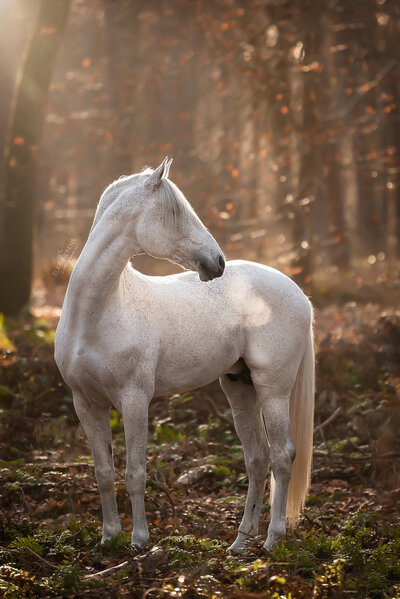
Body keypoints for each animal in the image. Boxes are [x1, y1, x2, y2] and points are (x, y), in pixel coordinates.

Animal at [54, 158, 316, 552]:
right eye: (176, 215)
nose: (218, 262)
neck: (97, 314)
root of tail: (297, 292)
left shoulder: (134, 400)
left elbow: (135, 472)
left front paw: (138, 540)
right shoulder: (85, 403)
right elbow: (103, 472)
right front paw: (108, 537)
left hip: (273, 390)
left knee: (283, 456)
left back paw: (273, 539)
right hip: (239, 386)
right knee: (257, 458)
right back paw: (240, 543)